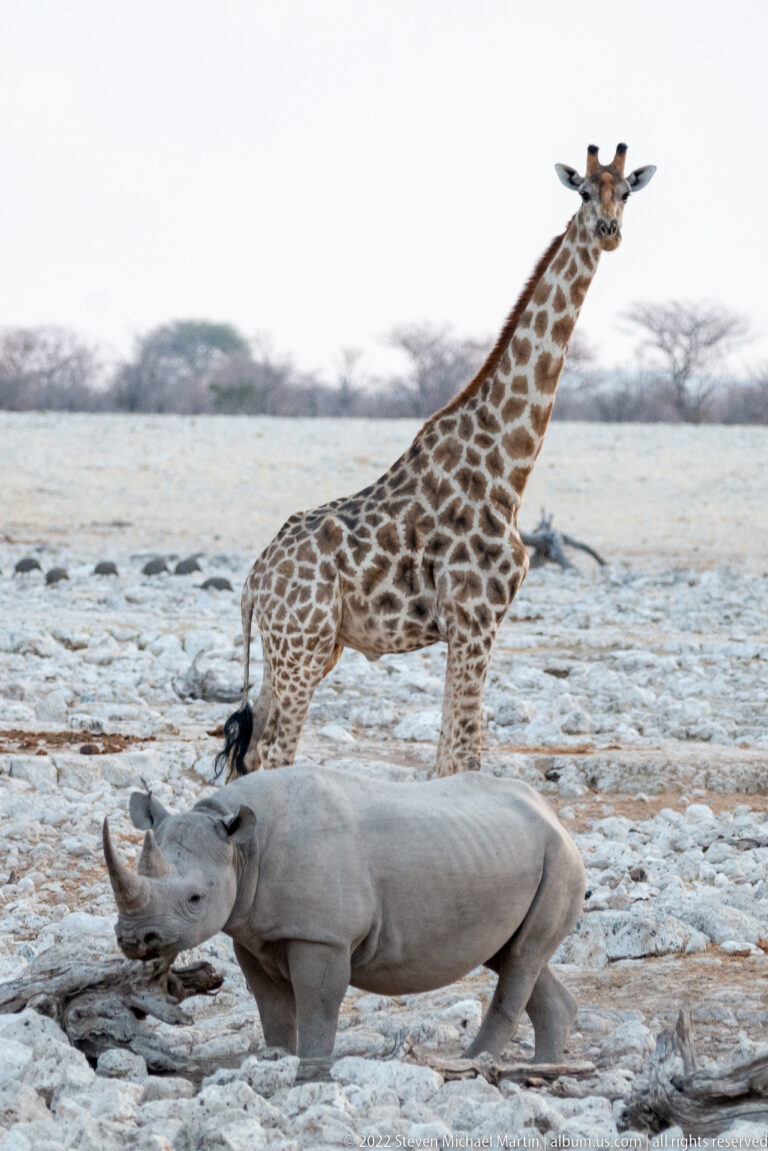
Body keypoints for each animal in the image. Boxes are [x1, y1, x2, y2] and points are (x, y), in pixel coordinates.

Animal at [103, 767, 585, 1075]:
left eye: (195, 898)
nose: (133, 939)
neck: (241, 849)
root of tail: (552, 814)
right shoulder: (253, 935)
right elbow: (272, 1007)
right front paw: (275, 1060)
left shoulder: (323, 937)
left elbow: (318, 1002)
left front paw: (312, 1070)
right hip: (510, 854)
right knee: (513, 955)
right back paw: (547, 1068)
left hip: (559, 857)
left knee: (521, 959)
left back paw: (471, 1064)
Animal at [215, 143, 656, 781]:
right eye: (581, 191)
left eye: (625, 193)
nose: (608, 231)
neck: (508, 467)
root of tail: (254, 581)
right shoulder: (475, 620)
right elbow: (462, 758)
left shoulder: (471, 628)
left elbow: (451, 755)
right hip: (302, 645)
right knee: (274, 753)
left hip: (306, 649)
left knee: (247, 754)